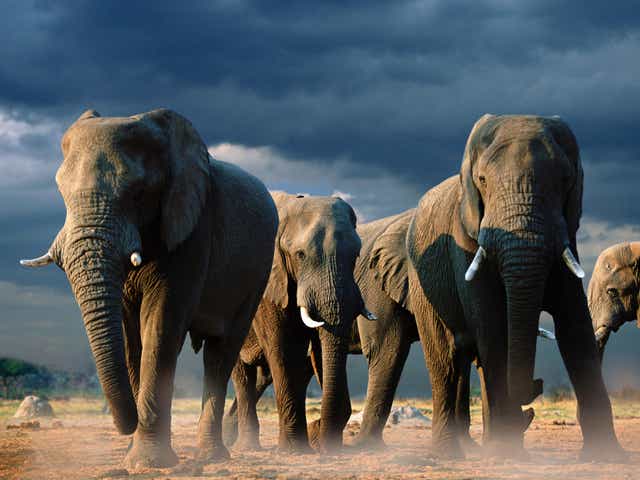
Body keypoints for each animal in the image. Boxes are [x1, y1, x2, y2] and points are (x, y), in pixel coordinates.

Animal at [20, 109, 278, 468]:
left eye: (138, 193)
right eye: (61, 193)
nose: (128, 424)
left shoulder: (192, 230)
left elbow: (161, 324)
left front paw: (148, 463)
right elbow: (131, 335)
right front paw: (133, 454)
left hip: (256, 276)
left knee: (221, 353)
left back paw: (212, 456)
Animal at [228, 192, 369, 453]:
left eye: (356, 255)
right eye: (300, 255)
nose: (327, 449)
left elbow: (319, 350)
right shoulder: (269, 285)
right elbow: (283, 349)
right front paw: (295, 450)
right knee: (242, 375)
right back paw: (247, 447)